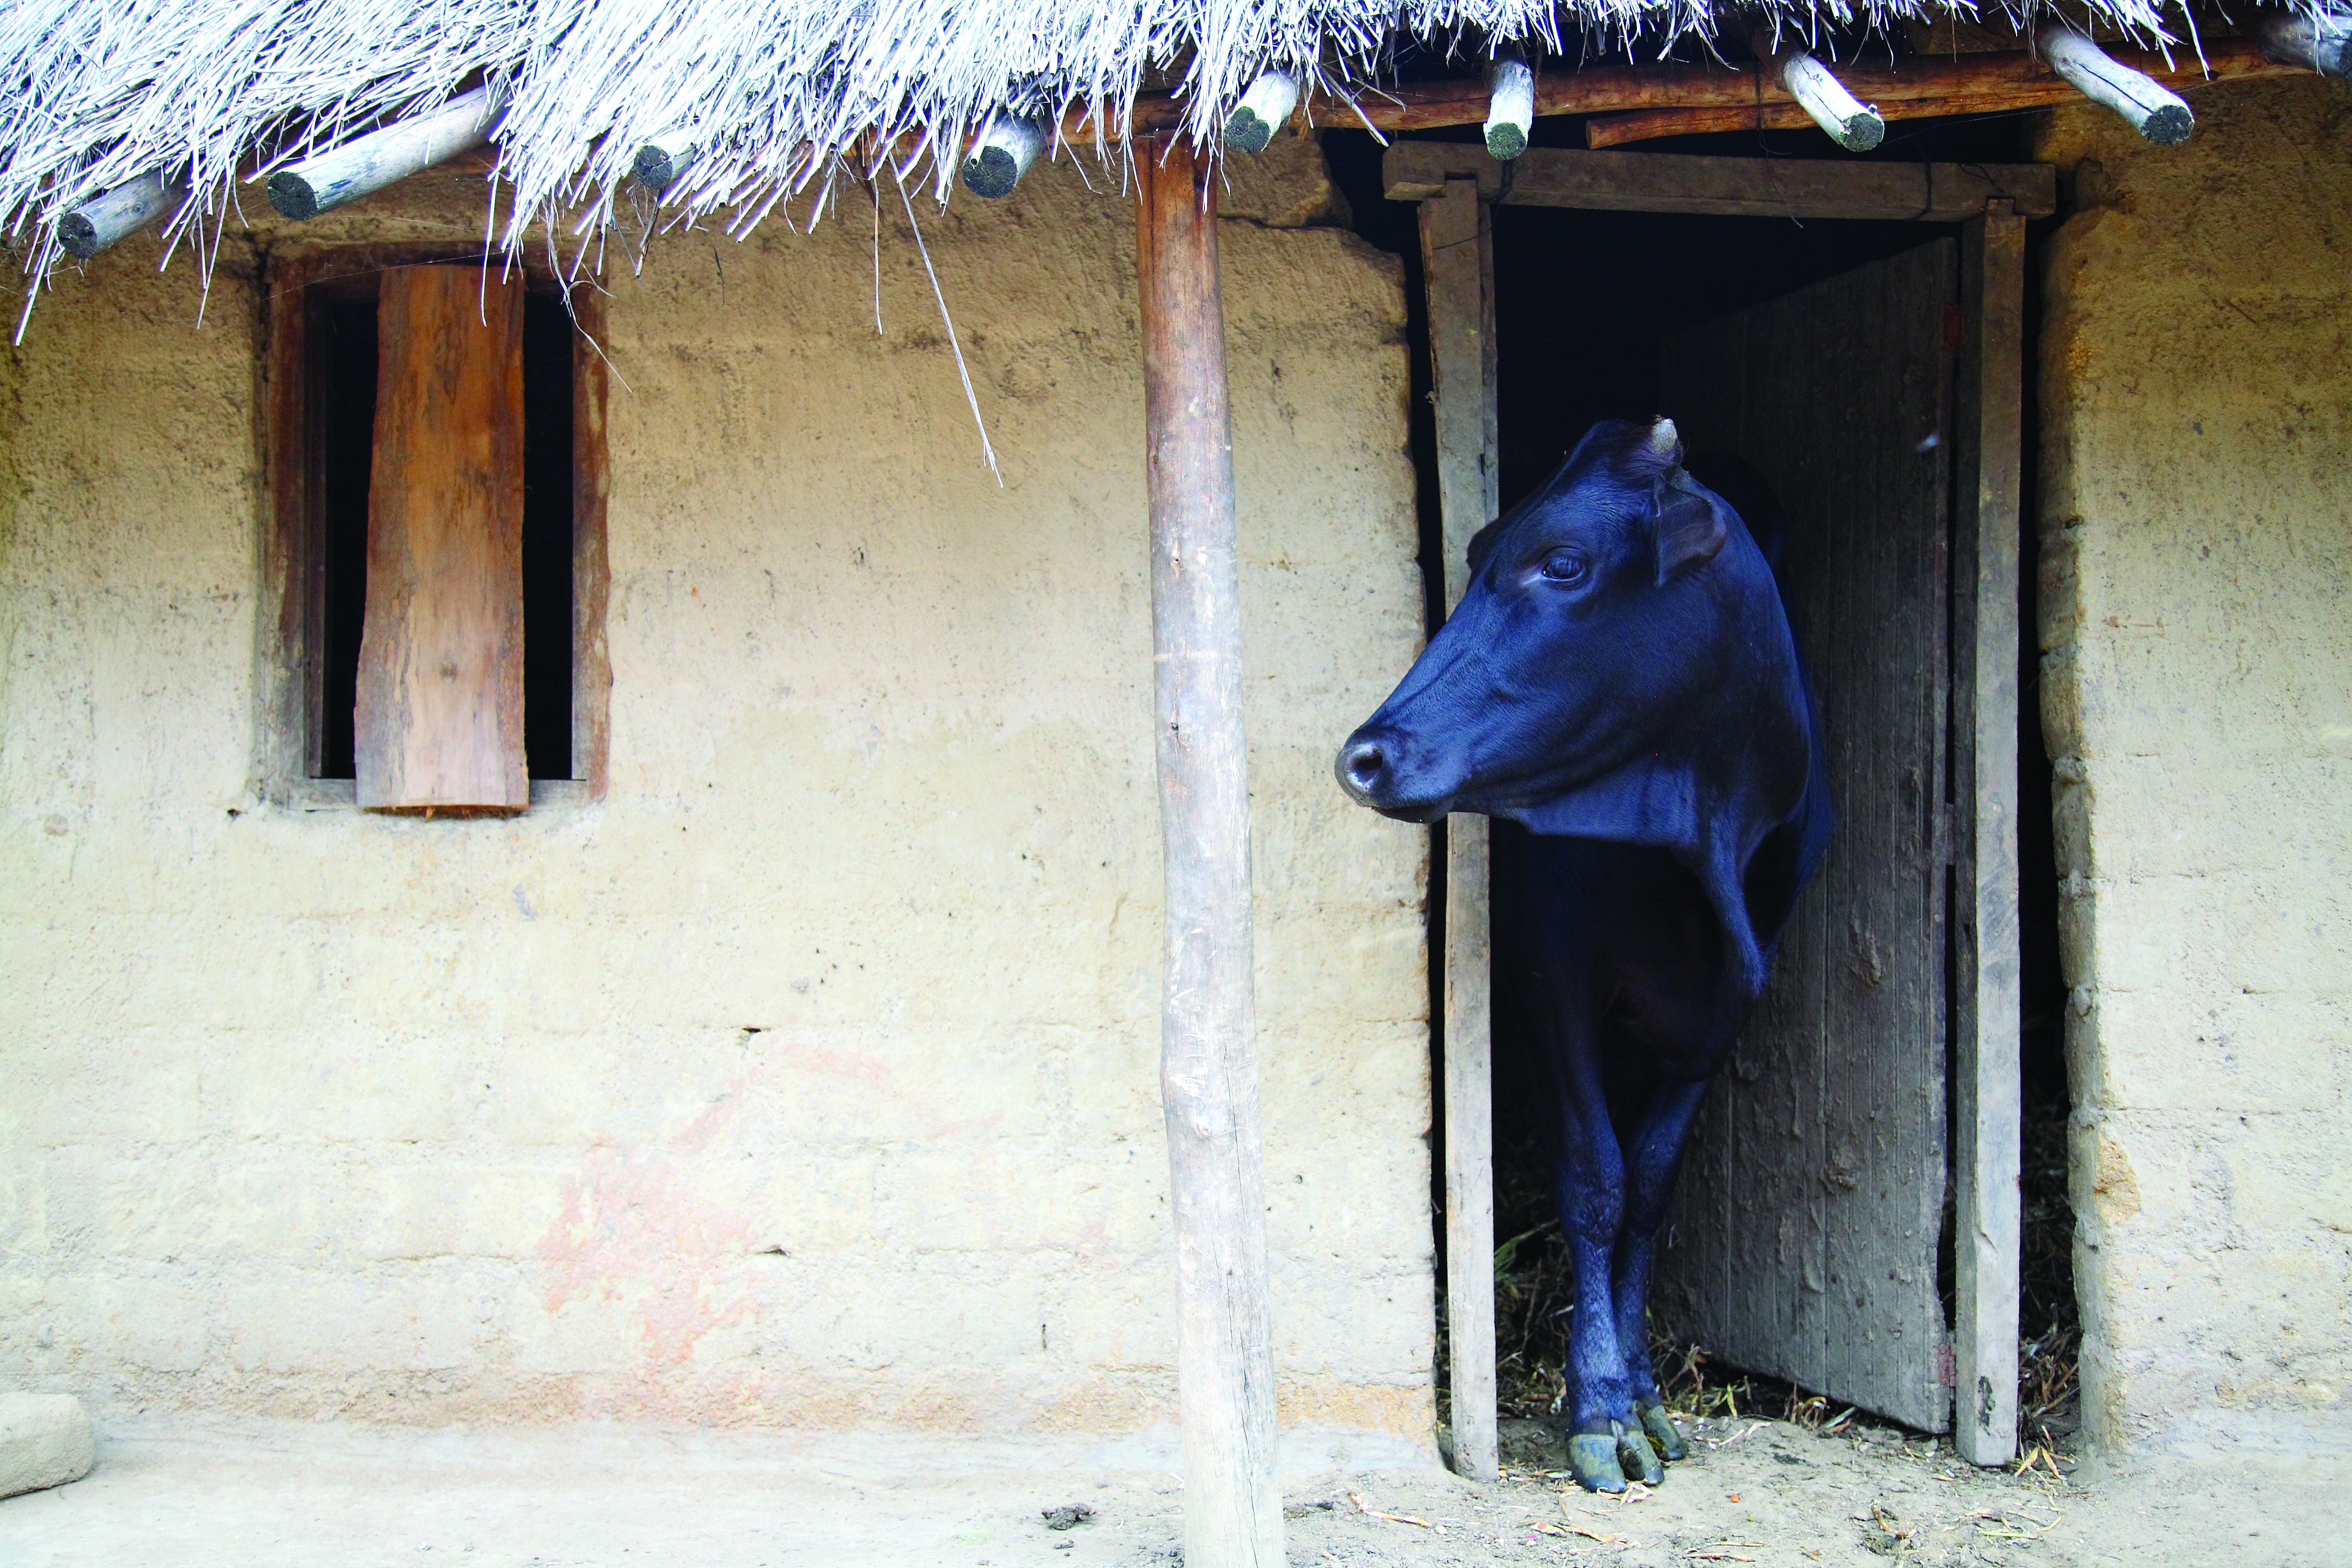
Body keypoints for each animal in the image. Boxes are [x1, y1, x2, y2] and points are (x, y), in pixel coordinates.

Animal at [1336, 416, 1825, 1495]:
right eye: (1477, 553)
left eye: (1561, 563)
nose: (1364, 756)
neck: (1699, 840)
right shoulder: (1550, 974)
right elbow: (1596, 1175)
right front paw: (1599, 1403)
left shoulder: (1734, 991)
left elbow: (1650, 1181)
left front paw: (1640, 1389)